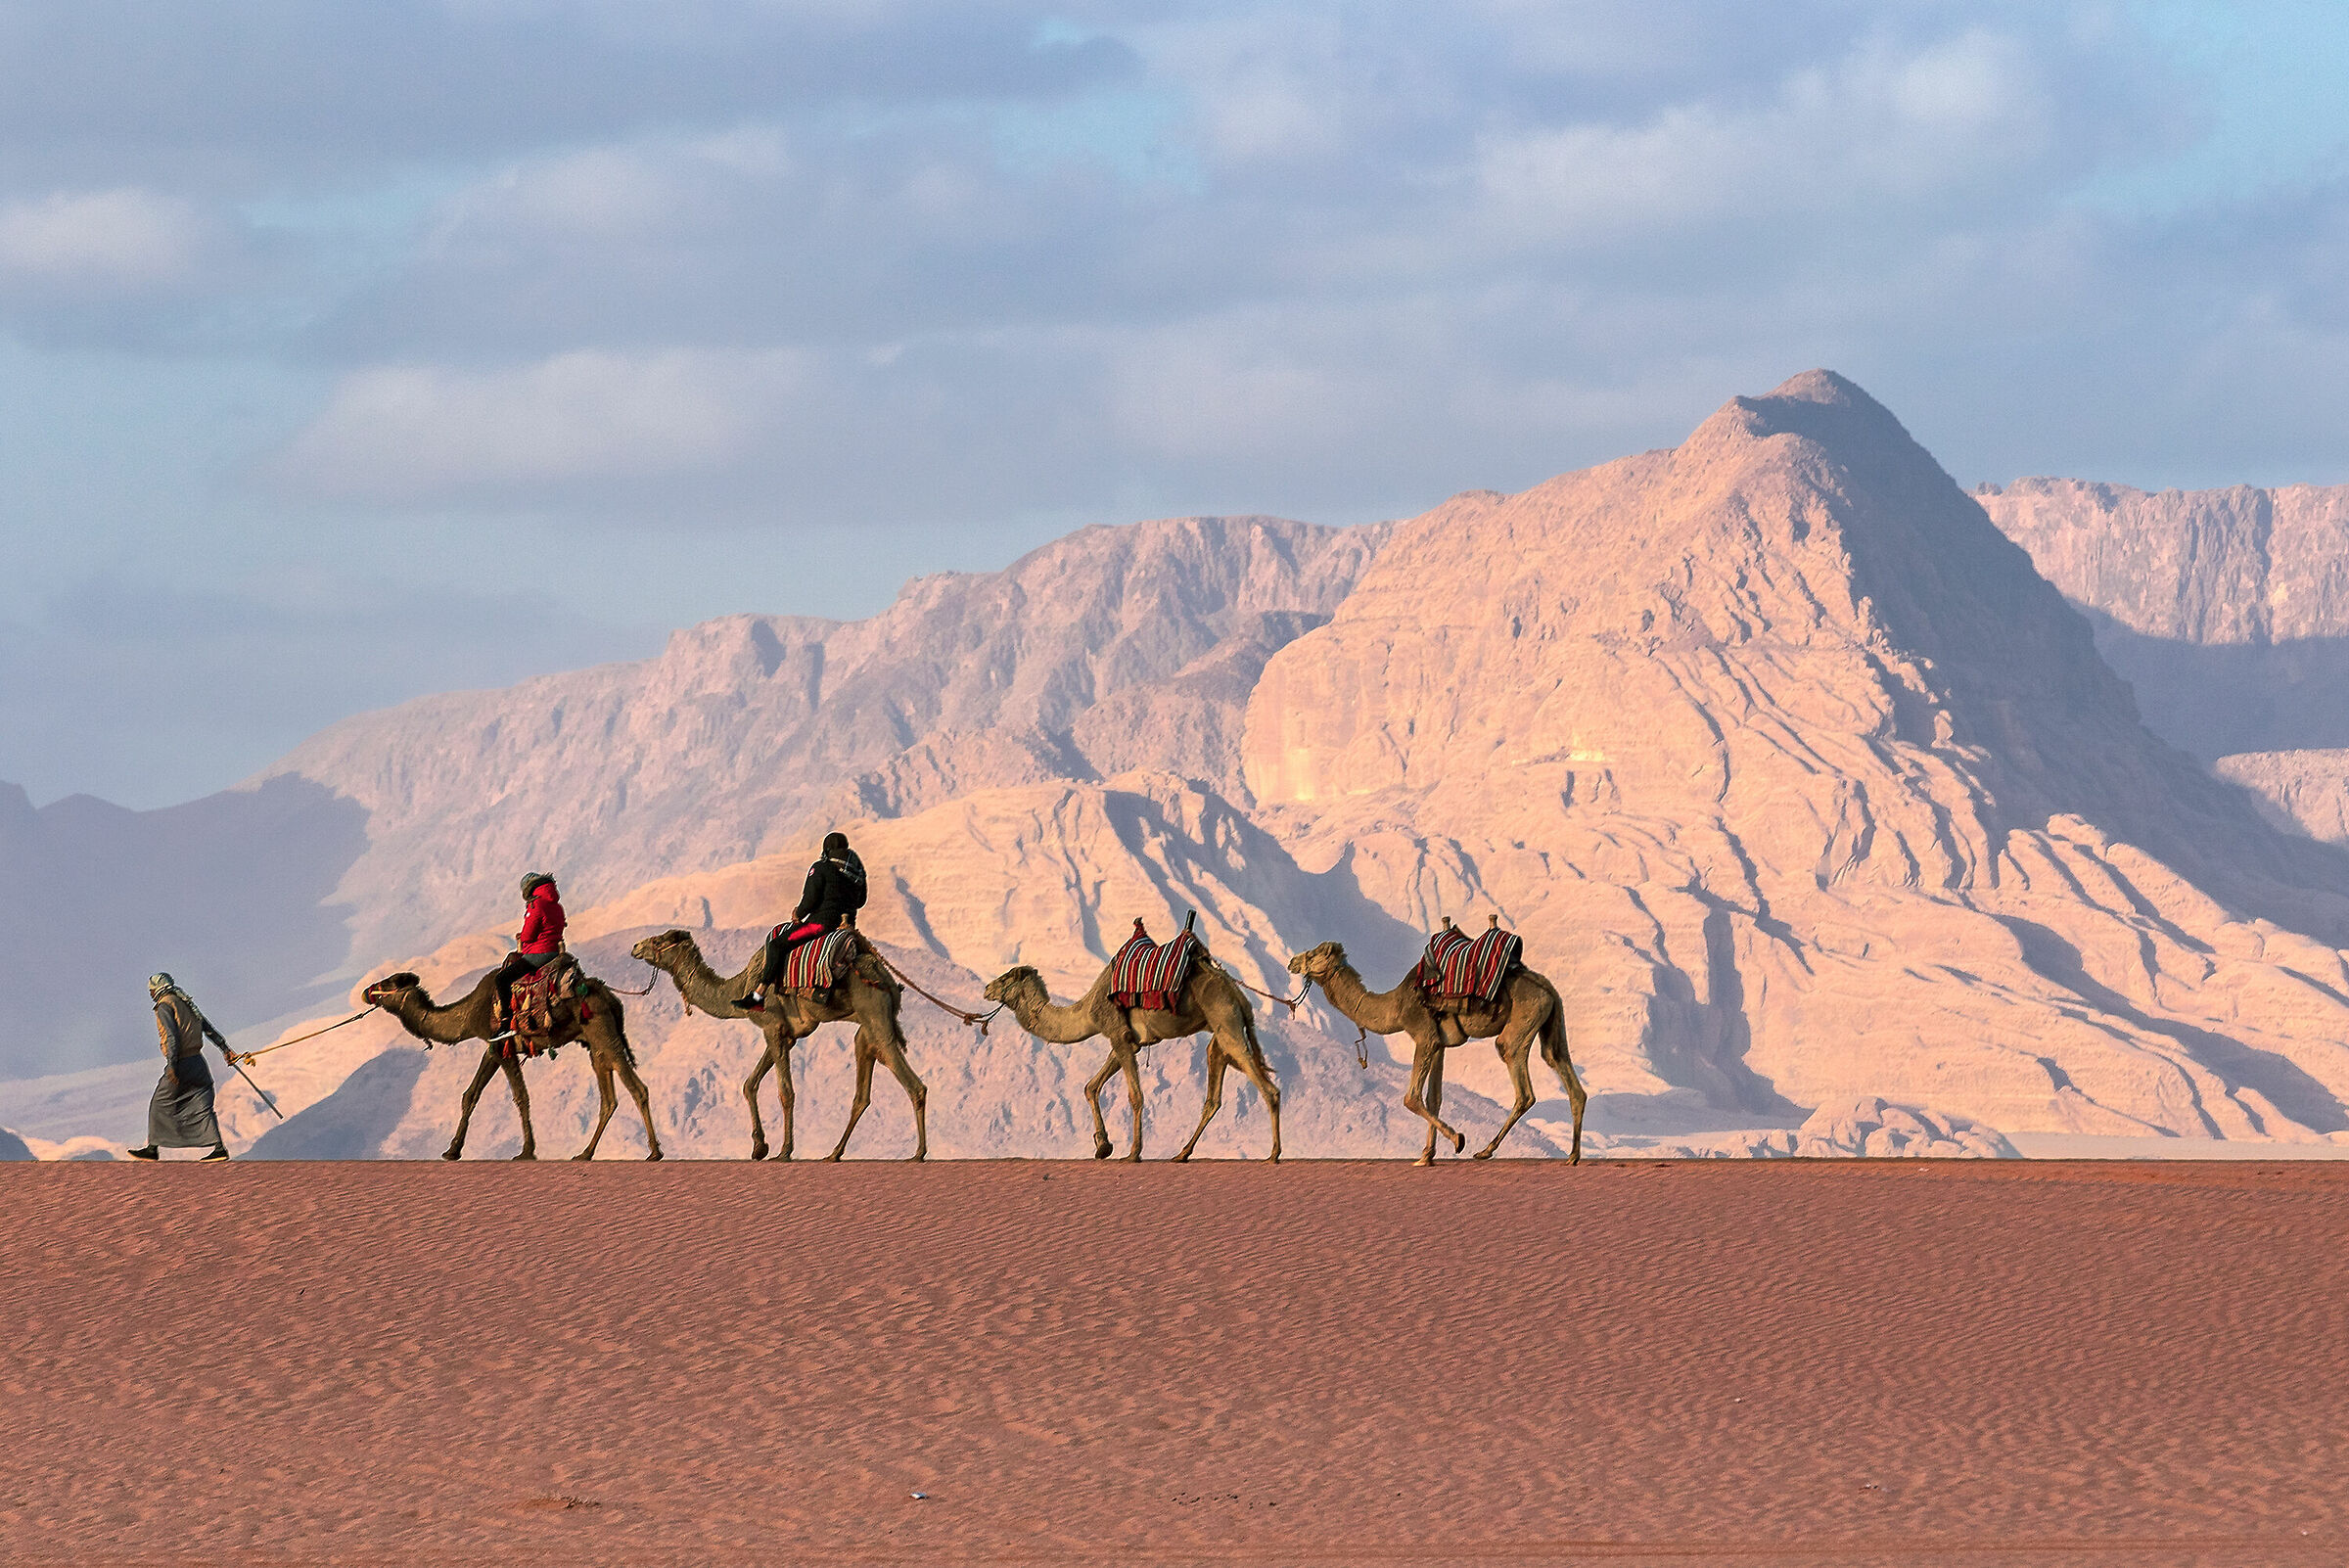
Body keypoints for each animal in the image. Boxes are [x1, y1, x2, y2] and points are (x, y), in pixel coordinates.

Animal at [360, 967, 663, 1162]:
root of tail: (612, 998)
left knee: (637, 1088)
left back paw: (653, 1153)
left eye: (389, 982)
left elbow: (520, 1096)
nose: (365, 992)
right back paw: (585, 1154)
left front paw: (527, 1151)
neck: (469, 1013)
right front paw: (452, 1151)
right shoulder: (493, 1047)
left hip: (601, 1030)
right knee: (608, 1098)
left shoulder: (501, 1046)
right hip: (594, 1044)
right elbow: (470, 1095)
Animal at [629, 928, 928, 1162]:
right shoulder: (786, 1035)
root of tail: (885, 975)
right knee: (863, 1090)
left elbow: (786, 1092)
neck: (740, 988)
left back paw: (918, 1153)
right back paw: (834, 1153)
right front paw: (759, 1147)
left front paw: (784, 1151)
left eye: (658, 940)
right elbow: (749, 1084)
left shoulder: (772, 1026)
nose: (635, 947)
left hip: (873, 1010)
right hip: (867, 1028)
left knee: (911, 1081)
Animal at [982, 957, 1281, 1162]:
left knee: (1268, 1088)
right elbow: (1091, 1086)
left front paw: (1133, 1153)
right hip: (1220, 1031)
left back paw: (1273, 1154)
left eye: (1006, 978)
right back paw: (1182, 1154)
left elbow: (1135, 1096)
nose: (986, 988)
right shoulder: (1127, 1041)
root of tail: (1239, 995)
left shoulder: (1117, 1034)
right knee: (1214, 1094)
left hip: (1225, 1019)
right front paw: (1103, 1147)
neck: (1087, 1011)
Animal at [1286, 939, 1585, 1165]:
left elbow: (1411, 1098)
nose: (1291, 962)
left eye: (1312, 954)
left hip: (1522, 1021)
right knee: (1560, 1065)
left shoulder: (1423, 1035)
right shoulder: (1439, 1044)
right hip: (1552, 1020)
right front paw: (1426, 1156)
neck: (1395, 1005)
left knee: (1521, 1083)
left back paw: (1484, 1151)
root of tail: (1547, 988)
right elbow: (1434, 1098)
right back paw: (1572, 1156)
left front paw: (1458, 1140)